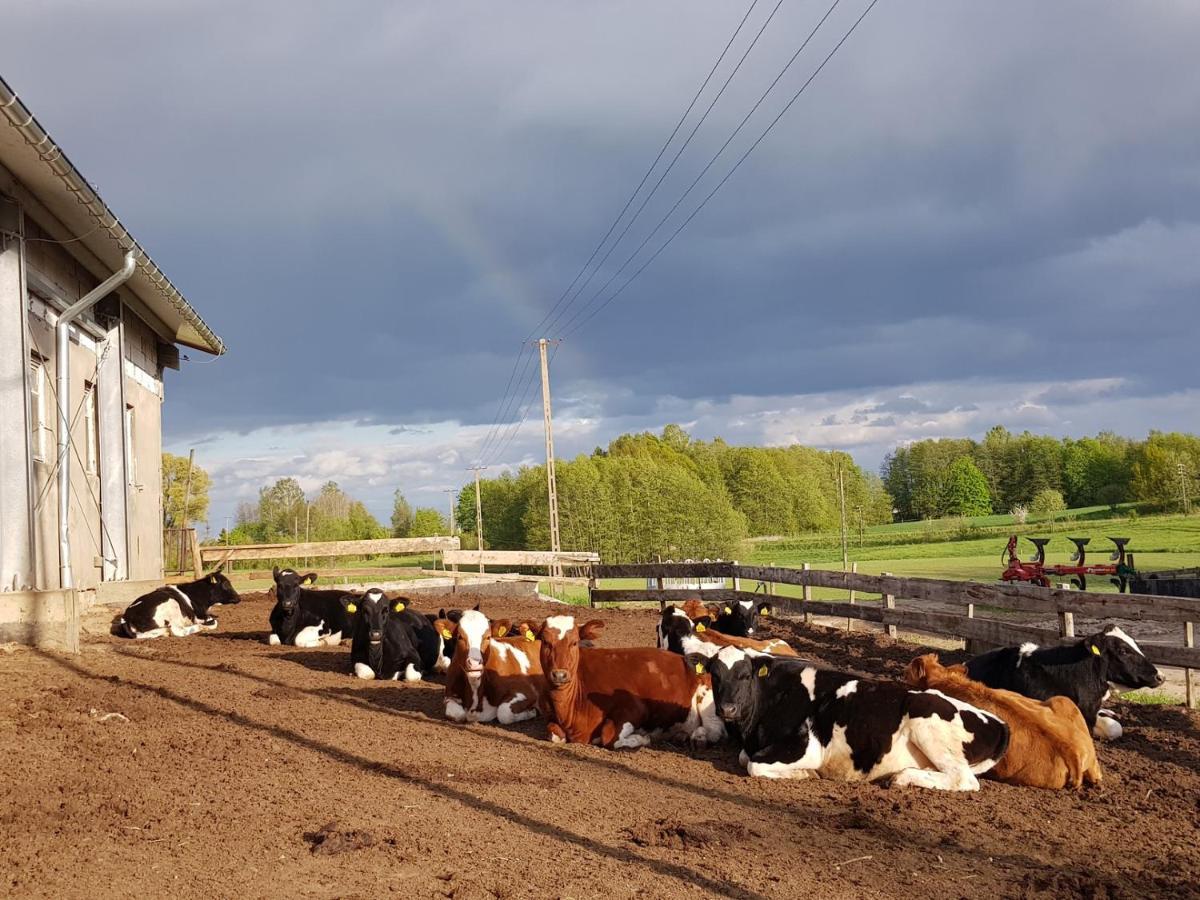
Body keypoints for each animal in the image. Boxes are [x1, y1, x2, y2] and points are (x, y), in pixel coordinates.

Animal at [535, 619, 720, 748]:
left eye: (574, 642)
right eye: (545, 642)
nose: (559, 674)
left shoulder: (634, 707)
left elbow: (608, 737)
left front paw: (642, 738)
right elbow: (553, 734)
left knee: (714, 730)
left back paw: (698, 737)